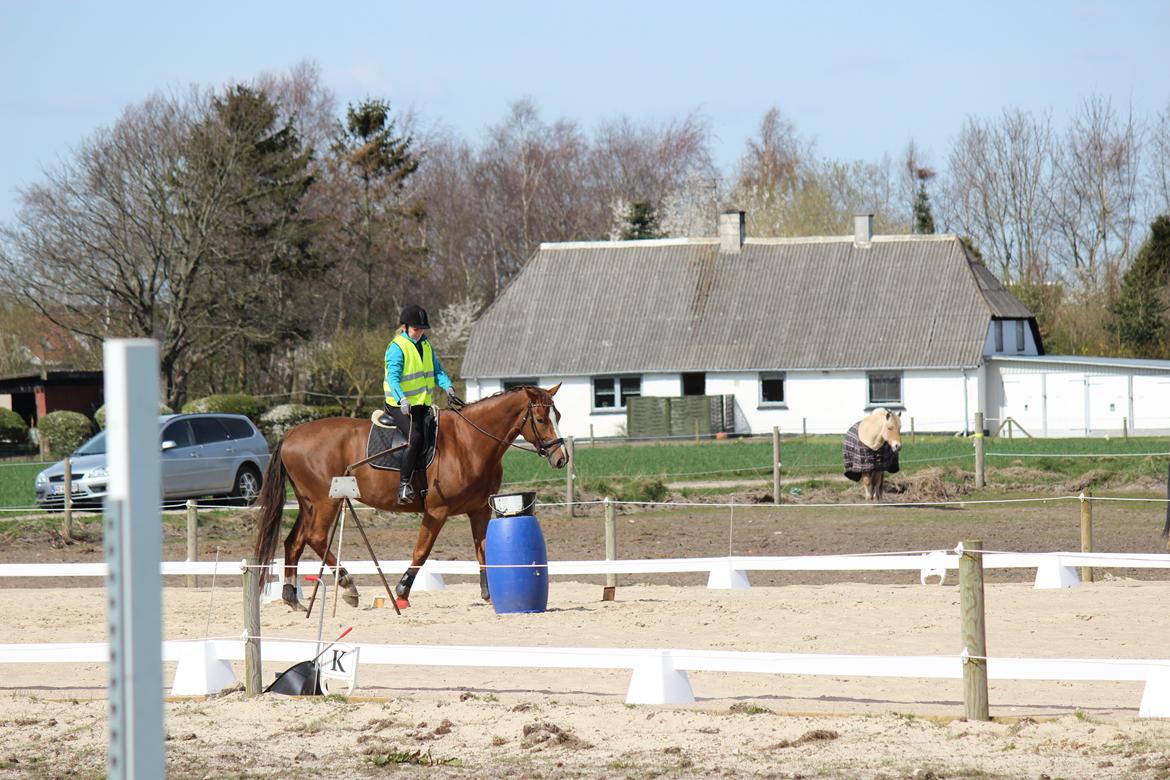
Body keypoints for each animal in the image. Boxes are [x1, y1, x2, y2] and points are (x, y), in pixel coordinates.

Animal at [253, 383, 568, 608]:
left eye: (559, 416)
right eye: (541, 419)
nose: (561, 458)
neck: (469, 442)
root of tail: (291, 433)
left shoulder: (480, 509)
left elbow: (482, 550)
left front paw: (489, 594)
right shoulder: (437, 511)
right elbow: (421, 552)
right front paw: (402, 592)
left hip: (309, 504)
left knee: (294, 541)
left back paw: (291, 596)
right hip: (325, 502)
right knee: (315, 538)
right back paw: (347, 585)